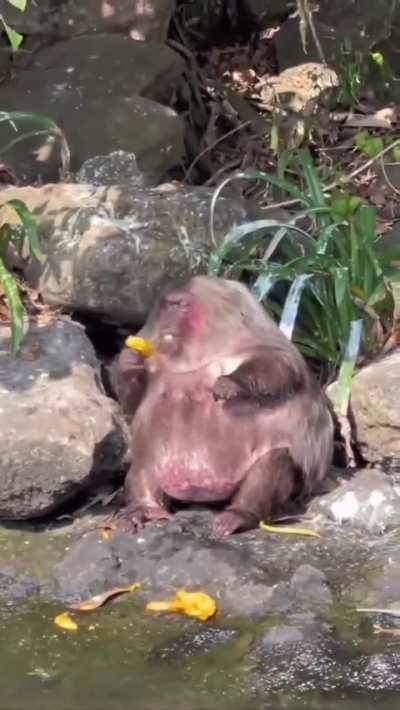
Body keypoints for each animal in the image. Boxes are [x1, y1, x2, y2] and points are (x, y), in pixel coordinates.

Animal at [109, 276, 334, 537]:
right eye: (166, 305)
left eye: (179, 305)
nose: (167, 318)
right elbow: (133, 404)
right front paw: (128, 362)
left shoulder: (259, 342)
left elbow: (278, 368)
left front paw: (231, 383)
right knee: (144, 462)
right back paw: (143, 508)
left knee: (274, 462)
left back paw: (240, 514)